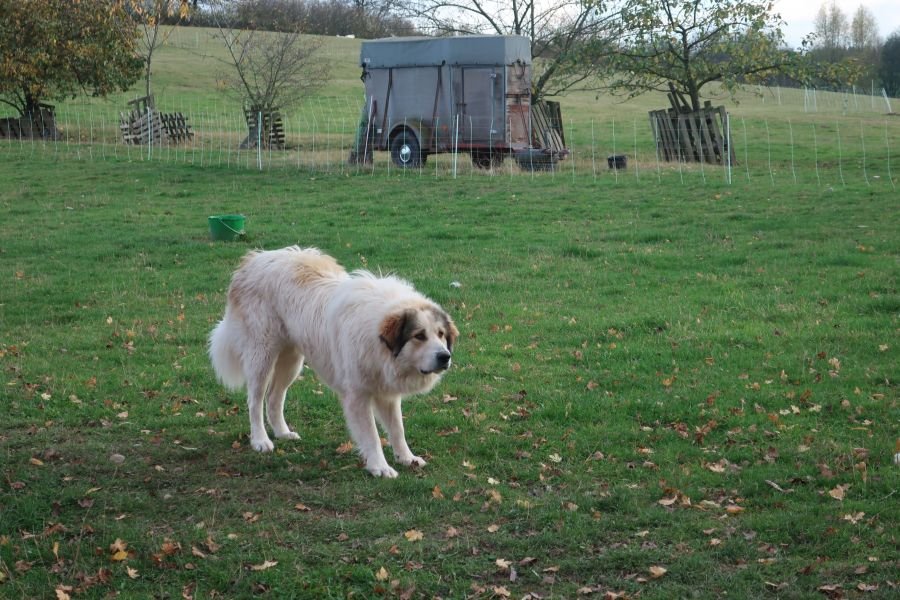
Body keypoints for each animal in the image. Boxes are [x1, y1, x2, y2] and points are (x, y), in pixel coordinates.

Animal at [209, 247, 458, 478]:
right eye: (419, 336)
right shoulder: (357, 396)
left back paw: (282, 433)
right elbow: (372, 436)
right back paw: (260, 440)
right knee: (255, 400)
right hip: (262, 356)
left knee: (274, 398)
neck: (378, 342)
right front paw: (380, 467)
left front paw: (407, 458)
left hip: (291, 361)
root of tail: (253, 260)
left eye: (441, 334)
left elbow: (398, 429)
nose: (445, 356)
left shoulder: (386, 393)